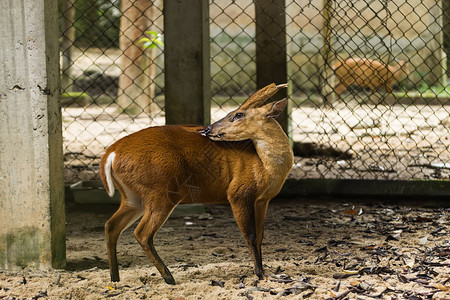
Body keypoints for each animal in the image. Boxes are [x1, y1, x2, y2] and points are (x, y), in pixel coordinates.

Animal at [100, 83, 294, 284]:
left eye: (238, 114)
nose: (208, 129)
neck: (264, 166)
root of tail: (112, 153)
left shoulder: (262, 200)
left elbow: (261, 236)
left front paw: (265, 272)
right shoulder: (238, 193)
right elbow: (250, 235)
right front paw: (260, 273)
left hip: (133, 197)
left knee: (111, 226)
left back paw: (115, 277)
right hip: (161, 192)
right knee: (142, 233)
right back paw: (169, 277)